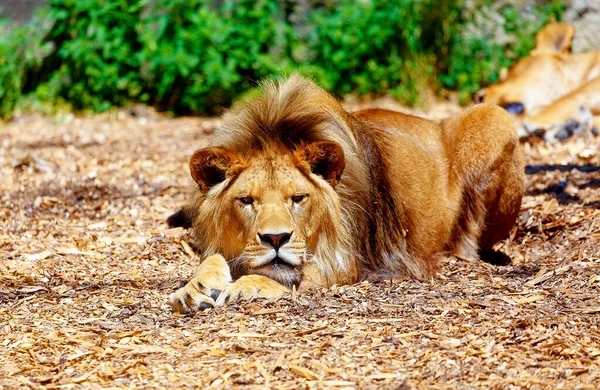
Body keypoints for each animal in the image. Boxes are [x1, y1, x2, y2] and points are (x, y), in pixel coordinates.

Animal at [169, 74, 524, 314]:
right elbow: (210, 259)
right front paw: (194, 287)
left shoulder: (357, 261)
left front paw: (246, 287)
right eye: (246, 201)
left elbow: (301, 276)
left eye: (298, 199)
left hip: (494, 116)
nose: (275, 238)